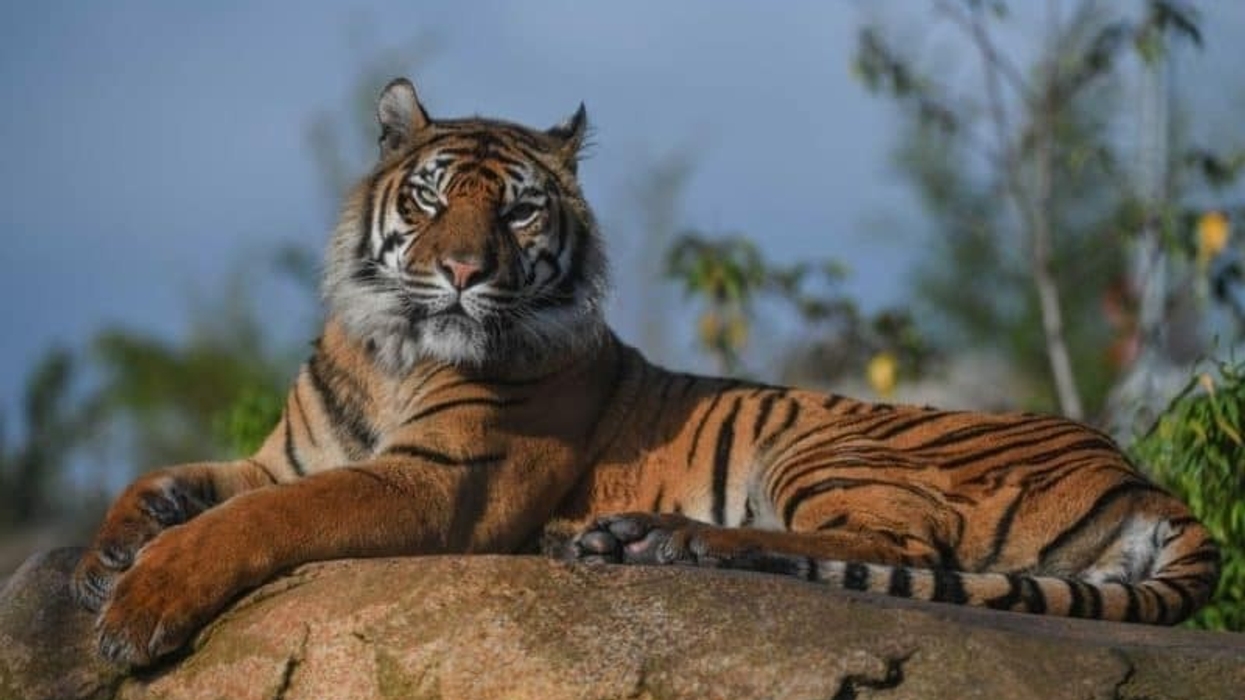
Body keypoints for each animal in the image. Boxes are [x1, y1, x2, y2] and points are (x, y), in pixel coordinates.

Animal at [71, 77, 1220, 668]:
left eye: (518, 210)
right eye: (433, 195)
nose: (460, 272)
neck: (391, 340)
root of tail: (1147, 479)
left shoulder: (439, 483)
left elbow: (254, 521)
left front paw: (139, 603)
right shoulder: (288, 454)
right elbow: (176, 480)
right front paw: (105, 553)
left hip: (833, 442)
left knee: (875, 545)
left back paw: (649, 538)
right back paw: (621, 540)